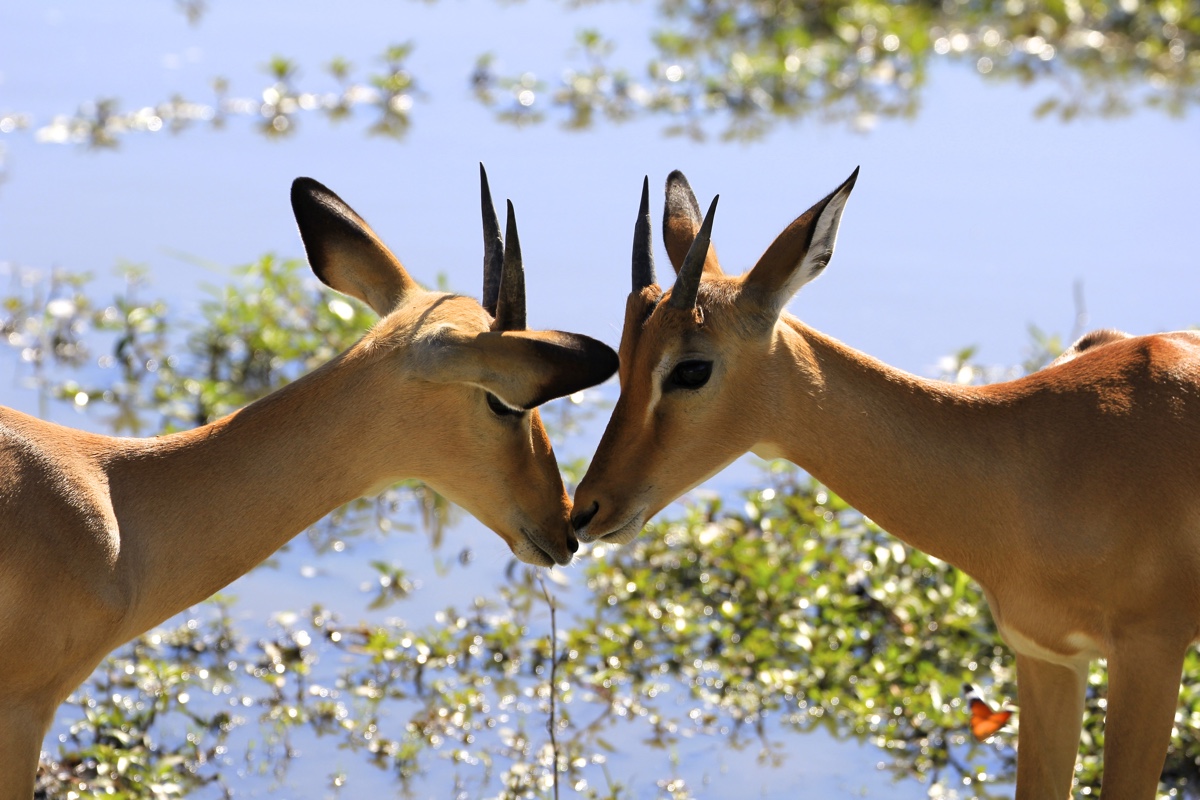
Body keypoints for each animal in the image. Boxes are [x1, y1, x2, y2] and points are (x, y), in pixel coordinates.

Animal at [571, 169, 1200, 799]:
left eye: (692, 368)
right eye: (623, 357)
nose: (585, 510)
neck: (1039, 454)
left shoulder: (1149, 658)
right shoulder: (1046, 655)